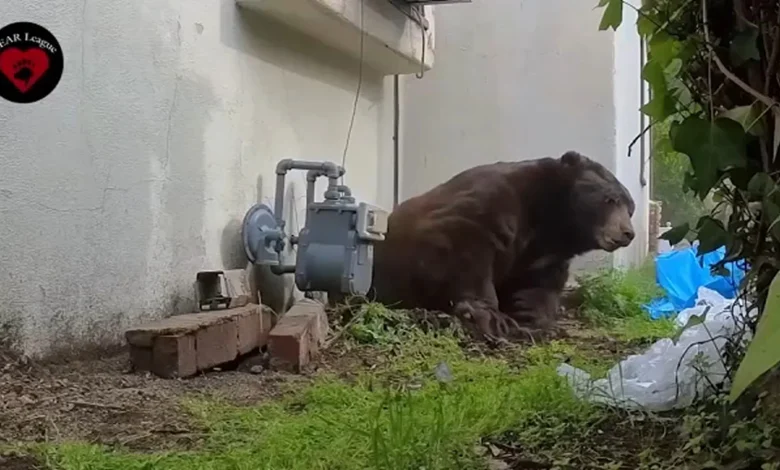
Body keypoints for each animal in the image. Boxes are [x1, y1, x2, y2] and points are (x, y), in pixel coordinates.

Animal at [369, 150, 636, 343]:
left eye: (630, 208)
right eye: (610, 199)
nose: (628, 233)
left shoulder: (542, 255)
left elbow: (534, 287)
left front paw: (532, 322)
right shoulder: (494, 204)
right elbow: (463, 247)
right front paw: (492, 317)